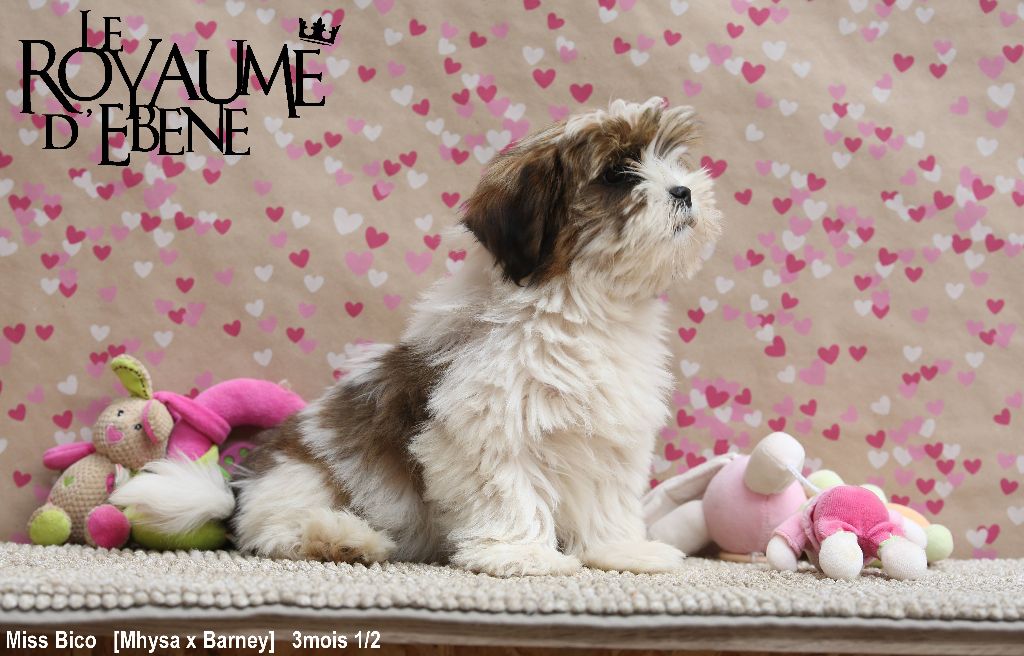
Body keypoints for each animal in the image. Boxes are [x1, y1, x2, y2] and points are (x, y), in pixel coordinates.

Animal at [229, 97, 722, 576]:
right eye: (618, 174)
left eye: (672, 159)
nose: (684, 191)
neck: (577, 306)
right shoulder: (488, 423)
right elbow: (509, 491)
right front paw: (522, 555)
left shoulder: (611, 435)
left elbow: (607, 498)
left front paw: (621, 551)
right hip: (301, 477)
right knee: (274, 529)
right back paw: (342, 537)